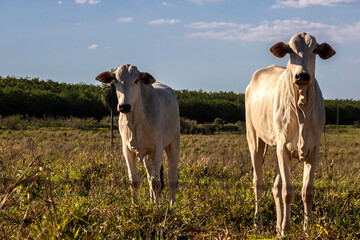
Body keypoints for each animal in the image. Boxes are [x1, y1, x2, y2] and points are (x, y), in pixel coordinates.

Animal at [95, 63, 180, 204]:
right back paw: (152, 201)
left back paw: (172, 205)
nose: (124, 106)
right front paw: (135, 205)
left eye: (136, 80)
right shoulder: (127, 150)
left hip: (173, 143)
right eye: (116, 80)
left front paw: (157, 207)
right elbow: (134, 182)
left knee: (172, 178)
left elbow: (156, 182)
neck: (135, 121)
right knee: (149, 177)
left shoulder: (157, 149)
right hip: (147, 155)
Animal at [245, 31, 334, 234]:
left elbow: (307, 192)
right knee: (258, 182)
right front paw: (286, 228)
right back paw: (258, 224)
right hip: (254, 138)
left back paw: (277, 226)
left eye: (315, 50)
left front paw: (306, 229)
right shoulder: (283, 148)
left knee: (275, 186)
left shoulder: (313, 150)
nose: (302, 75)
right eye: (291, 50)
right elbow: (288, 191)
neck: (301, 105)